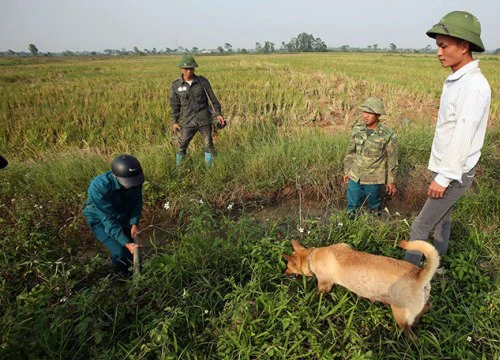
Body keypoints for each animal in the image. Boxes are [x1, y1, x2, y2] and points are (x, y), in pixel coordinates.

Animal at [284, 240, 440, 338]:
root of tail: (419, 276)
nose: (283, 273)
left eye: (288, 266)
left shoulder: (324, 286)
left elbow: (315, 293)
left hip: (400, 316)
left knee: (412, 336)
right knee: (427, 306)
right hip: (419, 306)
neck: (311, 257)